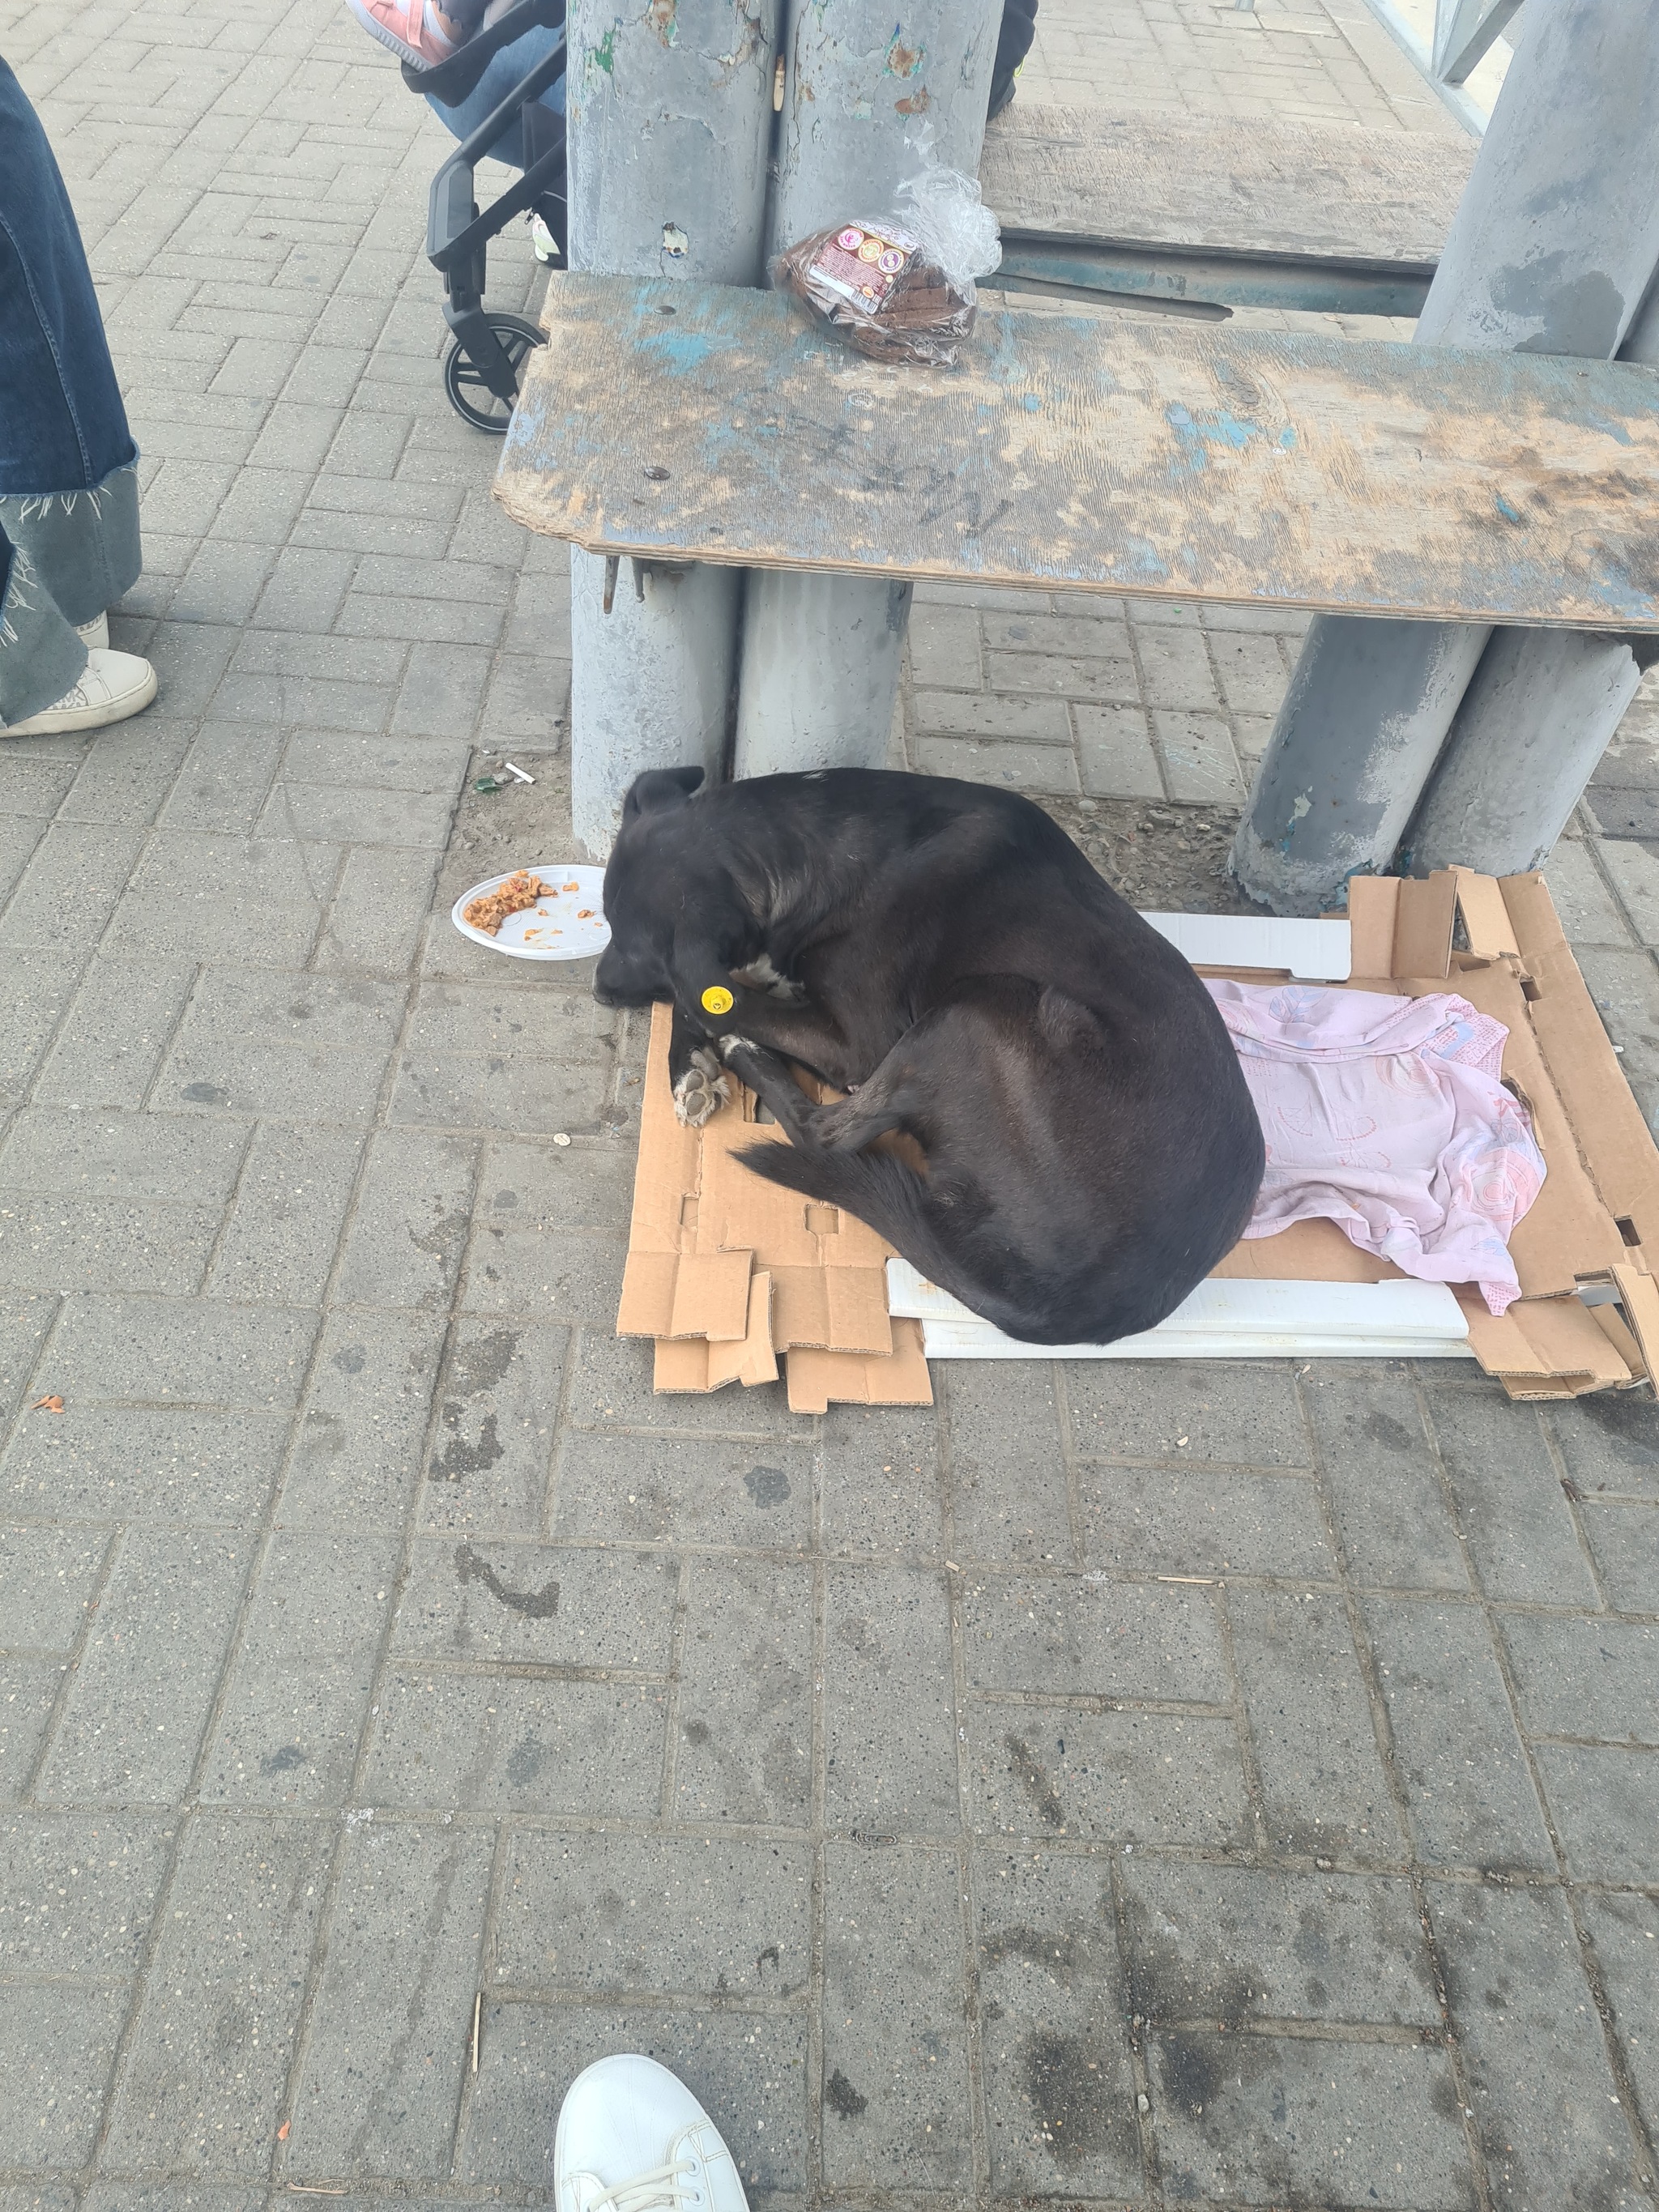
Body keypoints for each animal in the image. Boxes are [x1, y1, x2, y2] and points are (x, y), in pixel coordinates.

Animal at [606, 769, 1265, 1336]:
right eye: (609, 921)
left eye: (635, 950)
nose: (600, 986)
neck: (811, 848)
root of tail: (1079, 1304)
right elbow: (707, 997)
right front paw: (689, 1069)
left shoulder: (857, 1038)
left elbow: (715, 1000)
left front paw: (711, 1042)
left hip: (975, 1006)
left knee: (825, 1132)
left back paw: (747, 1055)